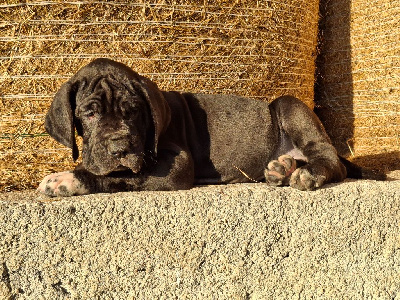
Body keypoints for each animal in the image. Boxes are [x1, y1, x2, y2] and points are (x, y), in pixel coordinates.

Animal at [38, 58, 384, 197]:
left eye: (134, 112)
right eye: (89, 113)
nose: (120, 147)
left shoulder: (177, 164)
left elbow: (122, 176)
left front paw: (67, 179)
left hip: (288, 105)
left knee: (331, 160)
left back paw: (307, 172)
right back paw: (282, 168)